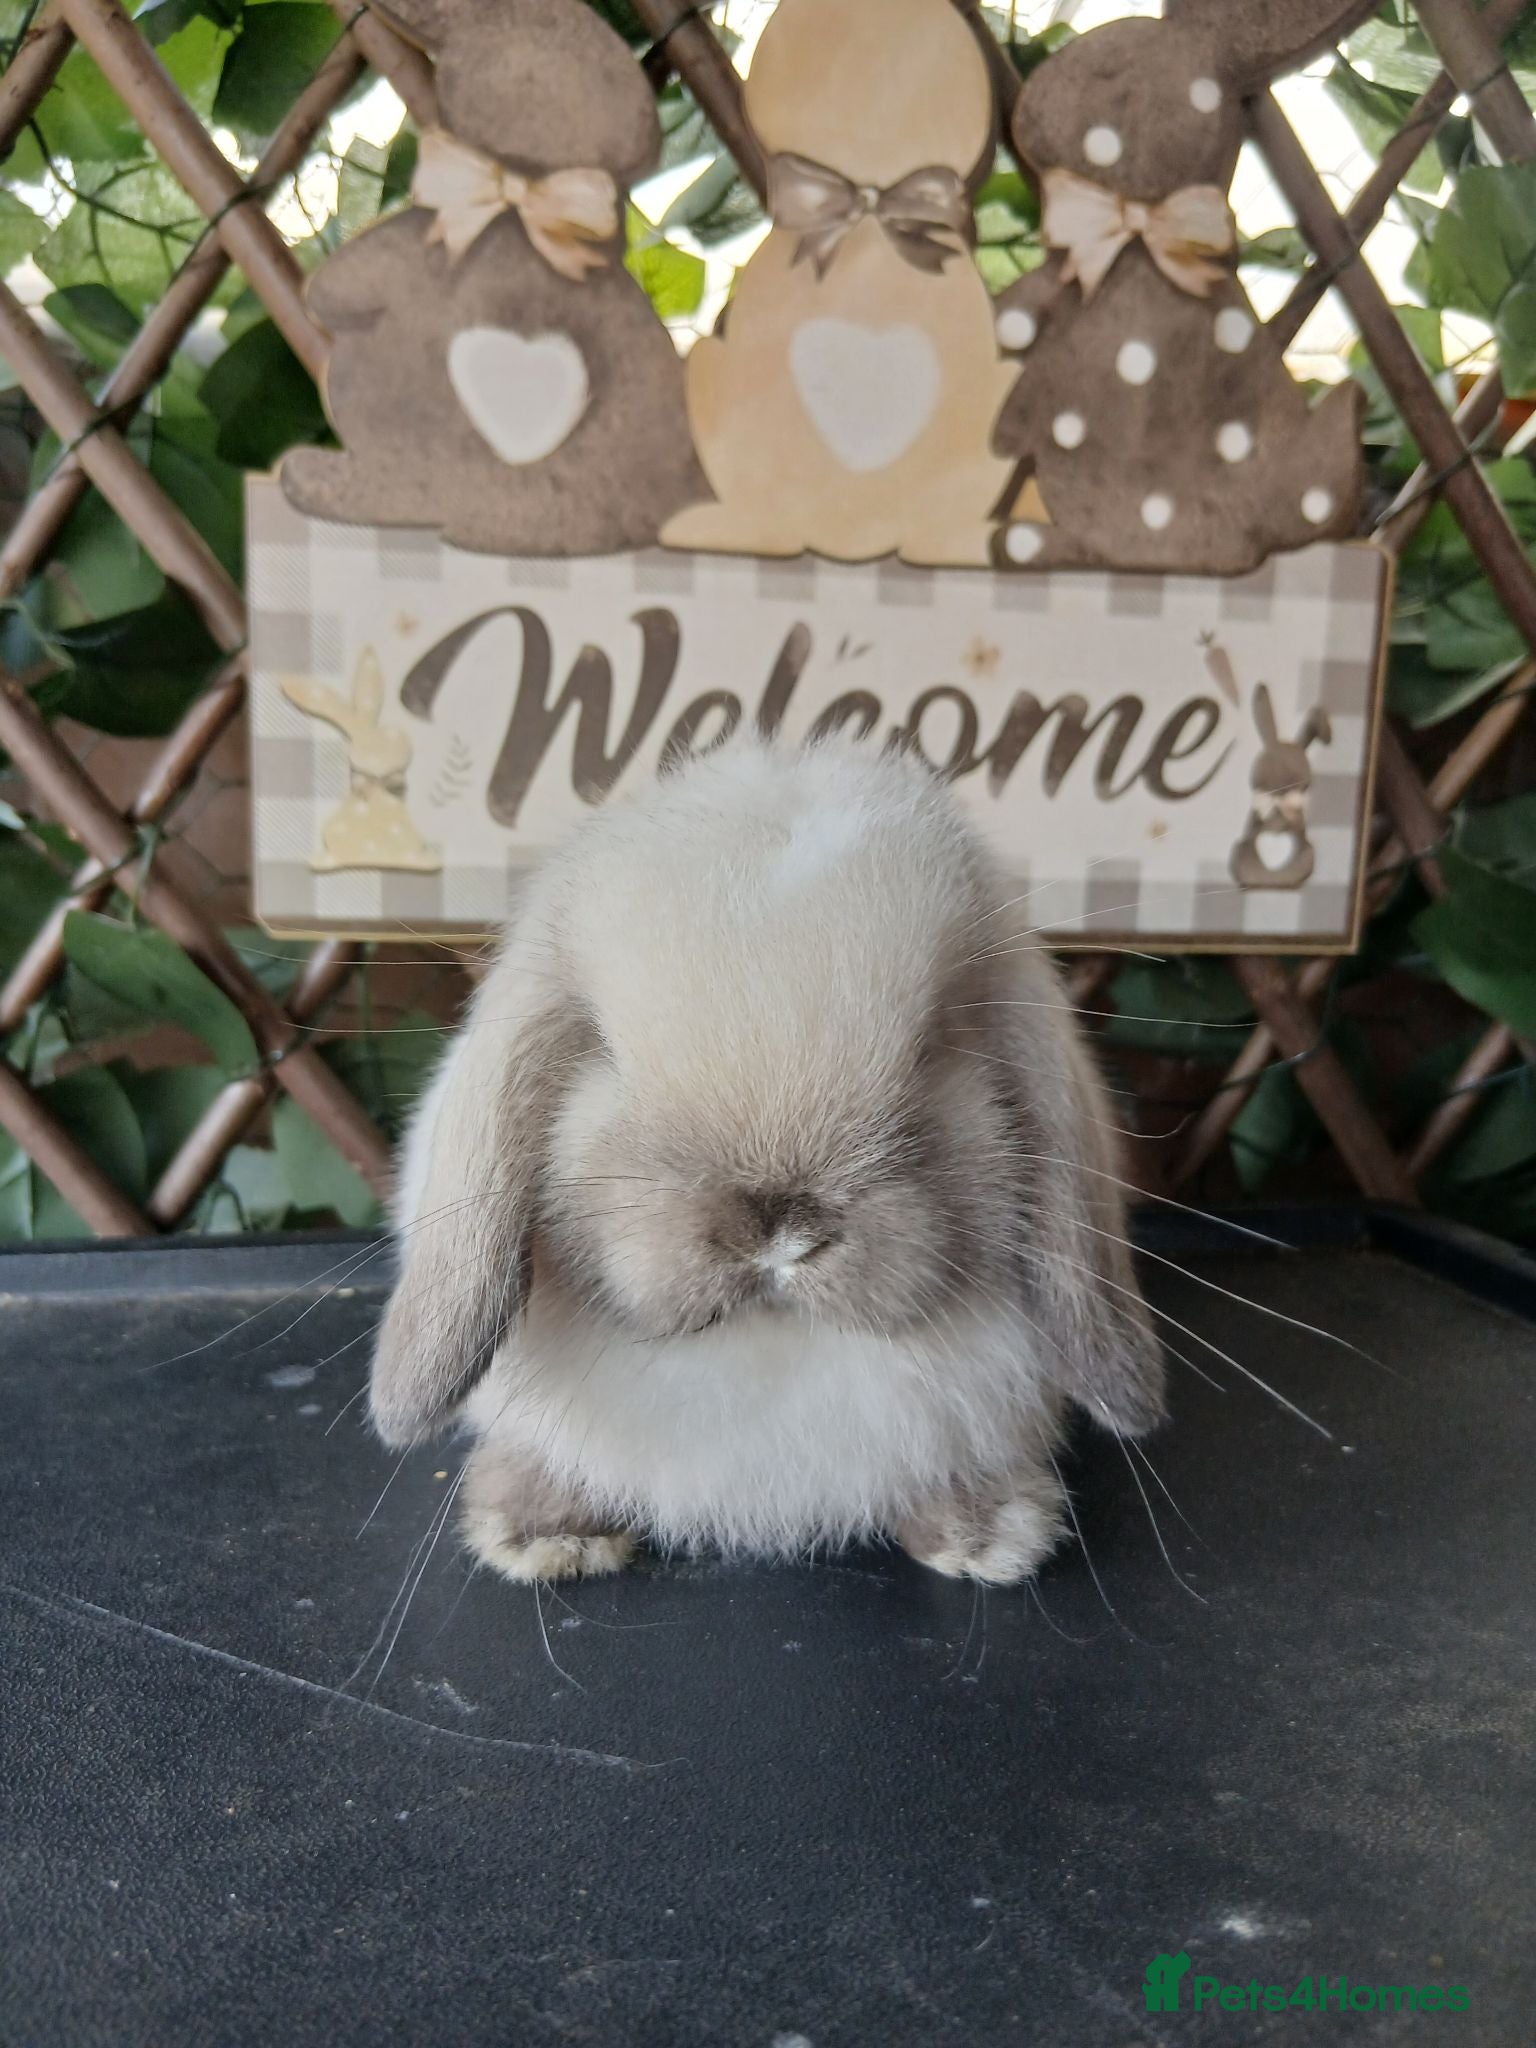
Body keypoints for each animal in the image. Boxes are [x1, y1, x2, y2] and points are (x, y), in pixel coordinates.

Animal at [369, 738, 1163, 1587]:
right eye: (603, 1049)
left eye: (938, 1044)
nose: (776, 1230)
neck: (770, 1345)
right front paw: (546, 1539)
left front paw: (993, 1536)